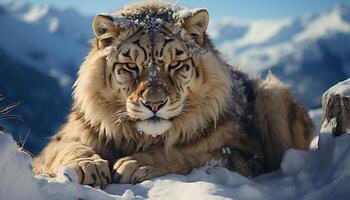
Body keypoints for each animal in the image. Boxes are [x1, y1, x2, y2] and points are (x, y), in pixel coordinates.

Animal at [32, 1, 314, 188]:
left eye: (175, 64)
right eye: (131, 66)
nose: (154, 104)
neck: (140, 136)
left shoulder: (245, 153)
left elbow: (189, 153)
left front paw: (136, 164)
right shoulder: (65, 137)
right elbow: (66, 148)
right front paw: (87, 166)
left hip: (273, 93)